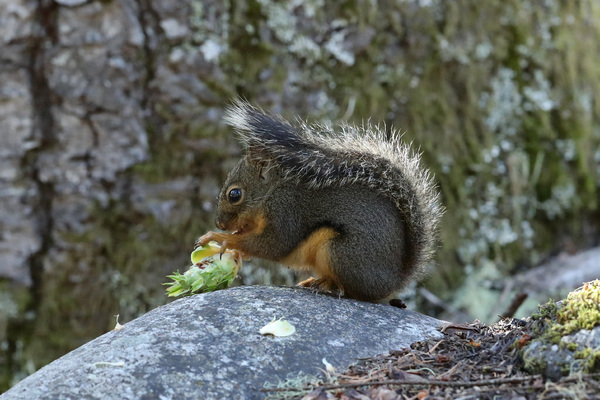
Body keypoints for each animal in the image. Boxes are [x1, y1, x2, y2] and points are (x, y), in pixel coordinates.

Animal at [195, 101, 442, 302]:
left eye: (234, 194)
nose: (220, 224)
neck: (271, 192)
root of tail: (393, 280)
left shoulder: (286, 210)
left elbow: (273, 245)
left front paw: (221, 239)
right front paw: (234, 251)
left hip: (340, 252)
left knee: (355, 293)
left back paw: (328, 286)